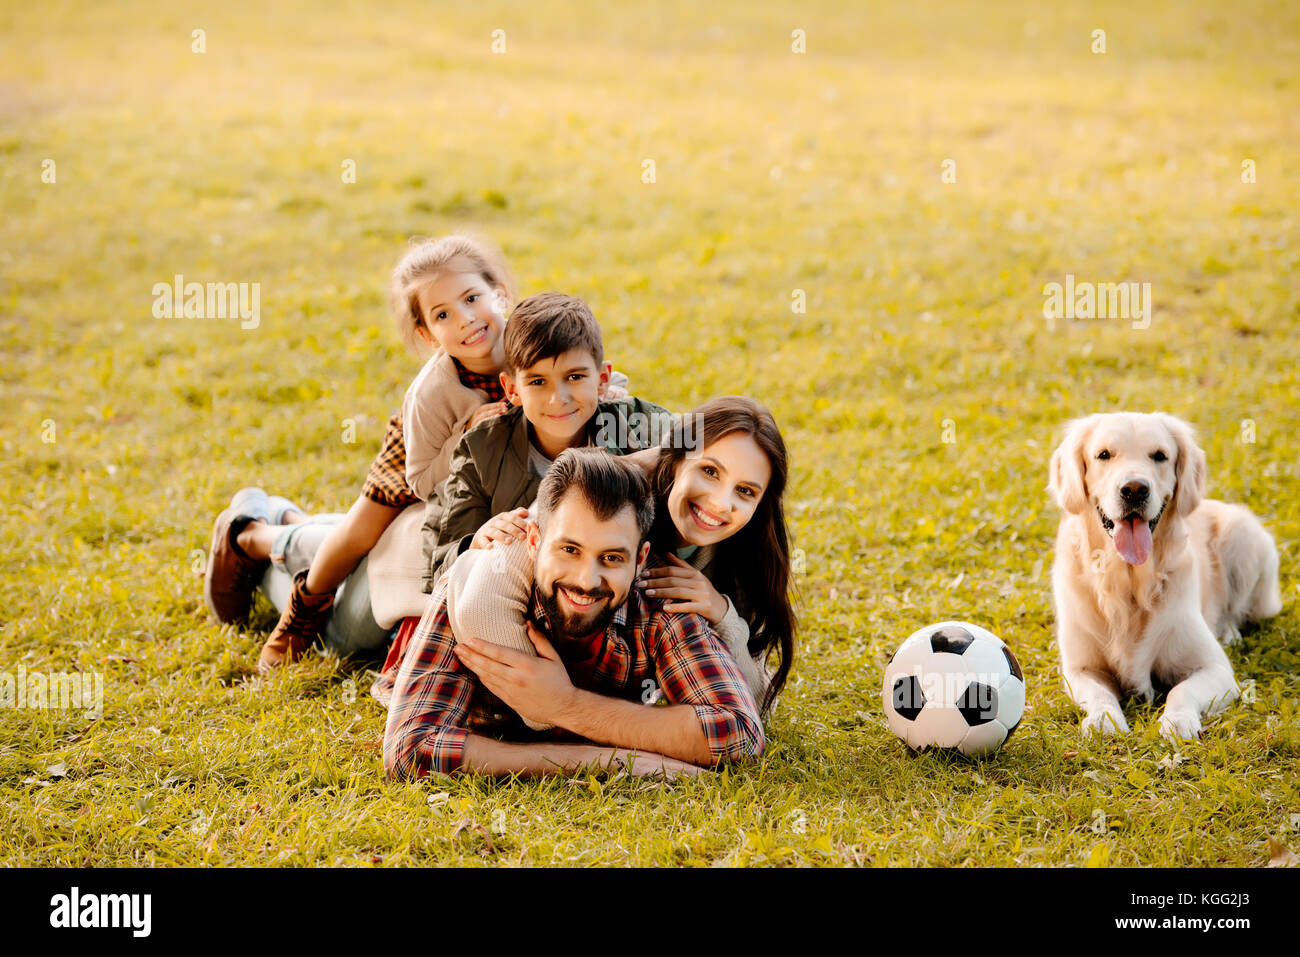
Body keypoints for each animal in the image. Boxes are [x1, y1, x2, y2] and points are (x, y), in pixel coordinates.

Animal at [1045, 413, 1279, 738]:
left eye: (1159, 456)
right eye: (1103, 455)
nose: (1134, 489)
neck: (1129, 585)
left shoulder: (1216, 668)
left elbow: (1181, 690)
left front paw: (1178, 720)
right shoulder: (1079, 668)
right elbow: (1098, 693)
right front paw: (1104, 719)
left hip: (1242, 534)